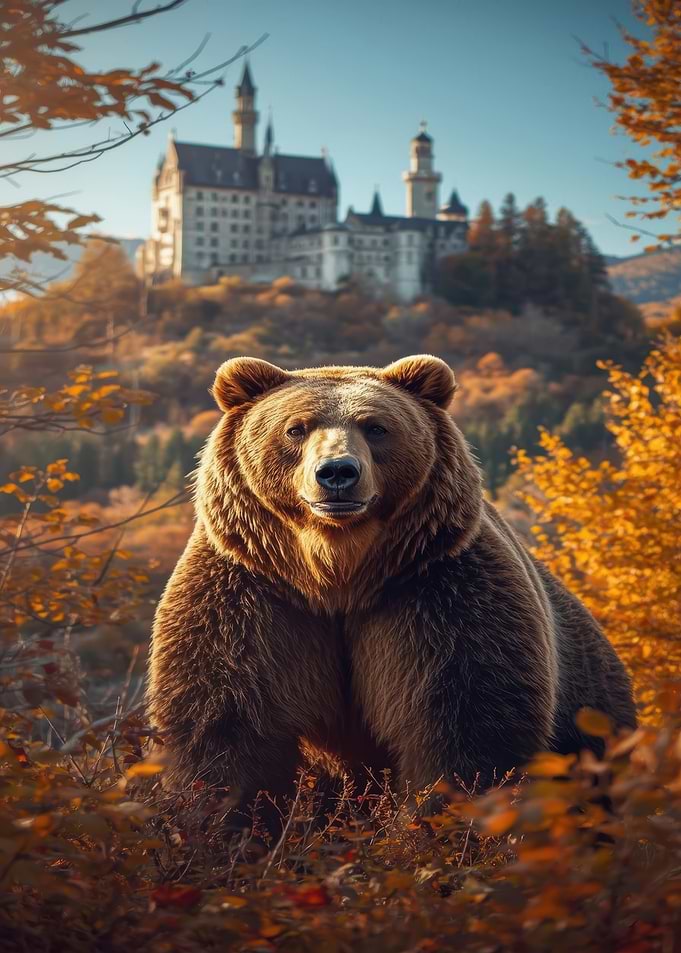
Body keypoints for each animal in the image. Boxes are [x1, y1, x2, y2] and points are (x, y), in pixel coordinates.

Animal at [147, 354, 636, 816]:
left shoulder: (436, 594)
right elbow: (226, 725)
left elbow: (465, 727)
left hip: (590, 714)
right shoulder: (254, 597)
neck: (337, 573)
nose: (337, 472)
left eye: (377, 427)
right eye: (295, 428)